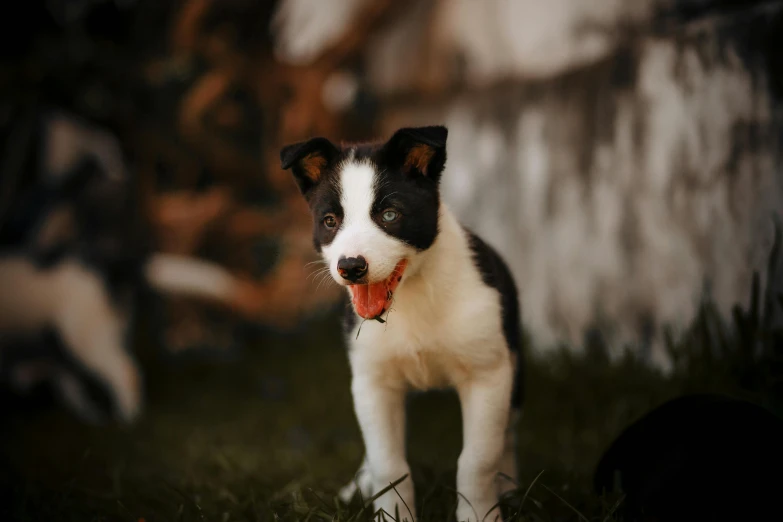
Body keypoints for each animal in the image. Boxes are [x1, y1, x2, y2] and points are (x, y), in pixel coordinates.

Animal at [284, 126, 528, 520]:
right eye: (330, 222)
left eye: (389, 215)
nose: (351, 267)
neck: (413, 296)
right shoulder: (373, 382)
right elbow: (388, 463)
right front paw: (392, 512)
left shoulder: (488, 374)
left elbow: (477, 459)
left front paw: (480, 513)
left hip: (514, 369)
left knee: (507, 433)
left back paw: (508, 486)